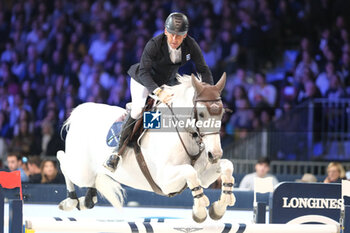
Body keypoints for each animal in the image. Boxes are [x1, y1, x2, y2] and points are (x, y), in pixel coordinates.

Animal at [58, 73, 237, 222]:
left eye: (221, 114)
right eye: (201, 114)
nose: (214, 154)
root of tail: (80, 112)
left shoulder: (204, 177)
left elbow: (227, 165)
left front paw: (219, 207)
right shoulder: (165, 181)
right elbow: (189, 171)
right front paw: (200, 212)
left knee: (91, 185)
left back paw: (86, 200)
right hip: (81, 171)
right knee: (62, 159)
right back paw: (70, 201)